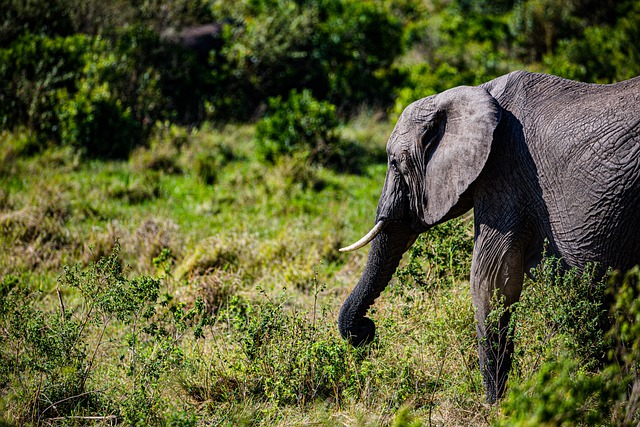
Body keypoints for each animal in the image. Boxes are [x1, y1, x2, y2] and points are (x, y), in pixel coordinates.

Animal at [342, 71, 640, 404]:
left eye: (394, 163)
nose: (366, 332)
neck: (476, 93)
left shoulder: (504, 173)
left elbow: (490, 281)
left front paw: (496, 405)